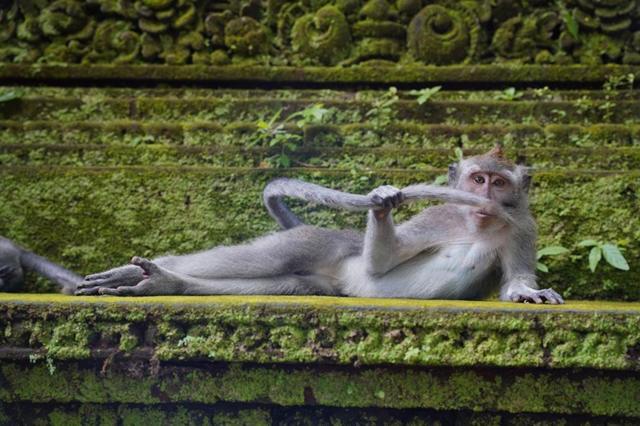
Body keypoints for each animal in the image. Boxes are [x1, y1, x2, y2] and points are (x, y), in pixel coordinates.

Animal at [0, 146, 563, 304]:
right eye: (476, 178)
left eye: (498, 181)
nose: (485, 197)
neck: (477, 223)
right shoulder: (438, 216)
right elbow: (382, 267)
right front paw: (383, 201)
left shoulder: (522, 227)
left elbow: (516, 277)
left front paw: (527, 292)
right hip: (316, 242)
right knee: (263, 258)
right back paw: (140, 272)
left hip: (318, 280)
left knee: (279, 280)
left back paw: (164, 282)